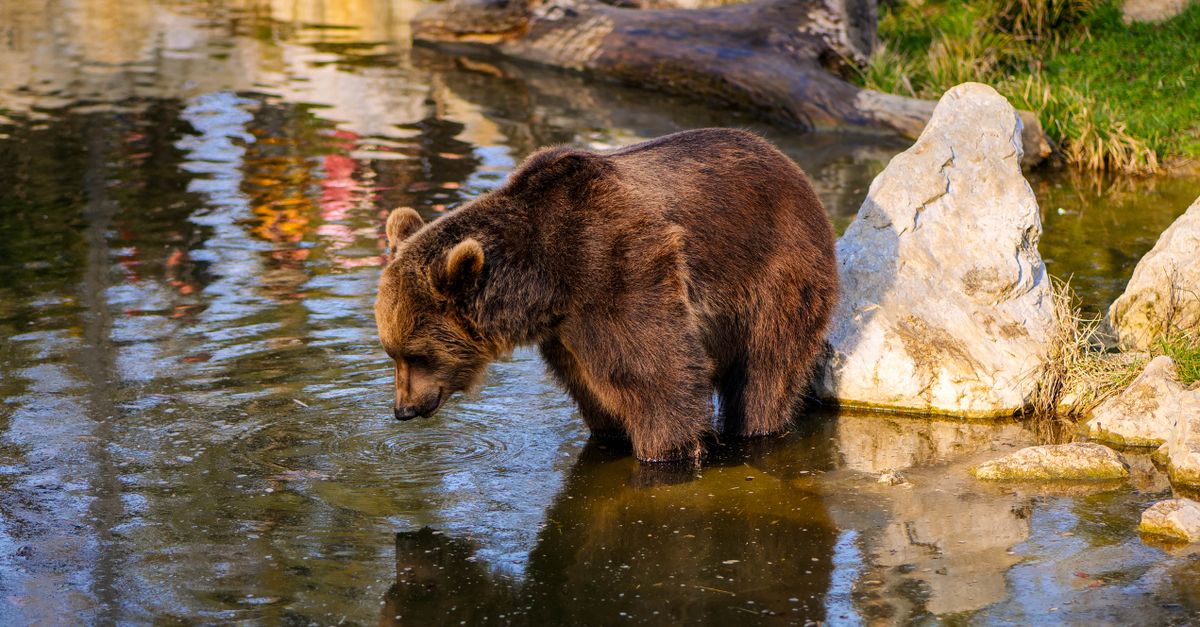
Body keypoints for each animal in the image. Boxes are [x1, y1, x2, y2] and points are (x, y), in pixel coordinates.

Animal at [374, 128, 838, 462]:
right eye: (392, 353)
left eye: (417, 354)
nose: (403, 409)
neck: (544, 280)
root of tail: (786, 161)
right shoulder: (564, 328)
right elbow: (592, 385)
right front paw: (611, 433)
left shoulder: (614, 266)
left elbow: (655, 372)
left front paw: (668, 447)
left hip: (773, 269)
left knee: (766, 365)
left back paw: (756, 424)